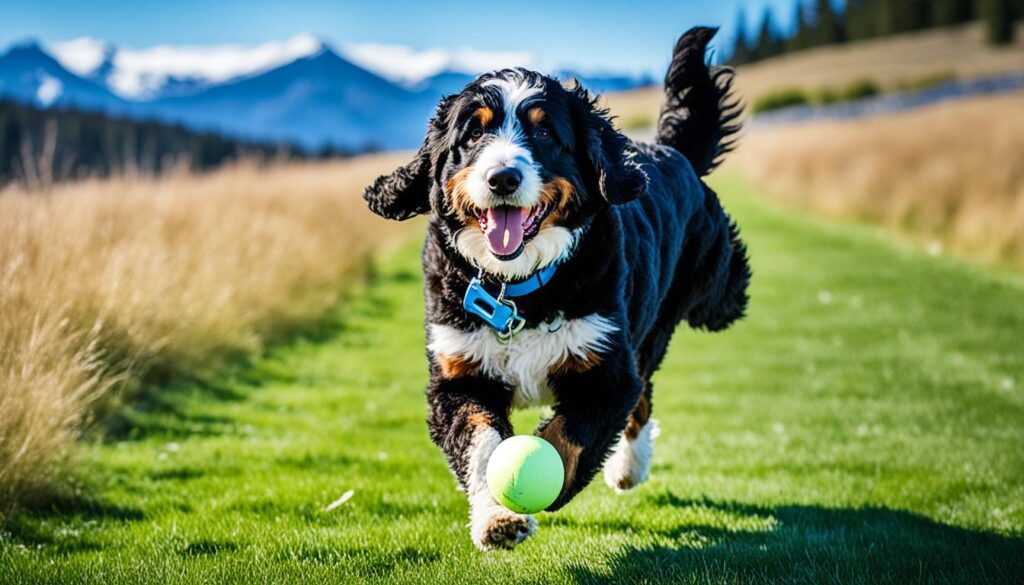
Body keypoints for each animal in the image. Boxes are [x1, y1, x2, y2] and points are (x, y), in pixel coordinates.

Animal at [364, 26, 749, 549]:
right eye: (473, 133)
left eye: (545, 133)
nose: (502, 177)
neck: (518, 289)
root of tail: (672, 151)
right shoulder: (457, 376)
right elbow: (481, 445)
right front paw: (497, 518)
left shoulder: (606, 371)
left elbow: (569, 437)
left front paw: (541, 481)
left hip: (688, 307)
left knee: (646, 390)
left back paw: (628, 468)